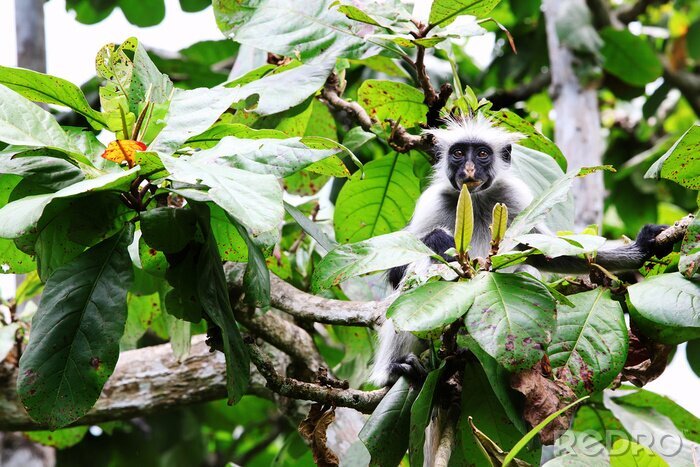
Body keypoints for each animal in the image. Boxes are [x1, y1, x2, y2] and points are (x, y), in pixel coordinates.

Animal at [368, 116, 672, 387]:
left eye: (482, 154)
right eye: (458, 153)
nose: (468, 169)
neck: (476, 200)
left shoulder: (514, 197)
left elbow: (548, 254)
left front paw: (642, 247)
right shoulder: (433, 202)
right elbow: (397, 272)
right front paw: (437, 240)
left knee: (526, 271)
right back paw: (393, 368)